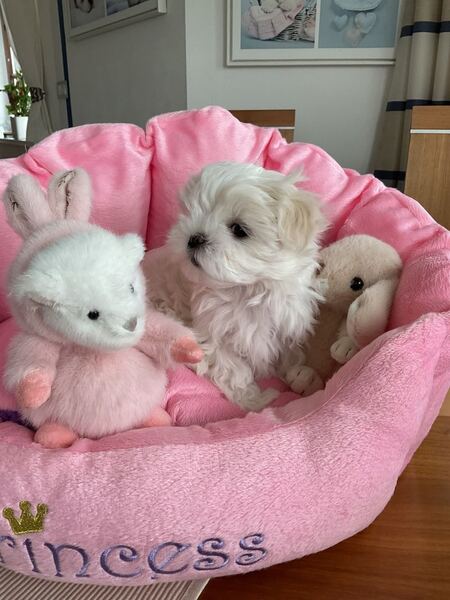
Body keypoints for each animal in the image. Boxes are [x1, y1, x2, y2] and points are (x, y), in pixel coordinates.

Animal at [144, 162, 327, 411]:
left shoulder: (287, 322)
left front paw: (300, 374)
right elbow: (232, 368)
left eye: (239, 229)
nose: (194, 238)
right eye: (192, 212)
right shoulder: (210, 334)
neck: (249, 290)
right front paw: (256, 401)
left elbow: (291, 352)